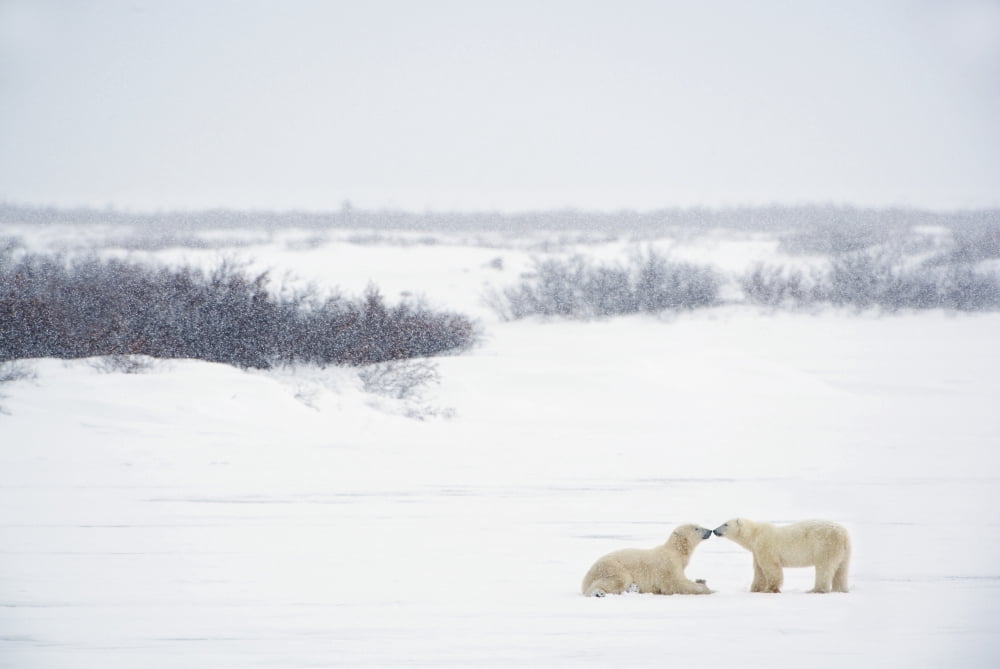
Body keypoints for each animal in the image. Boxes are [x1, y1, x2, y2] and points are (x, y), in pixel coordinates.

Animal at [581, 524, 714, 597]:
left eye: (699, 526)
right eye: (696, 528)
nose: (709, 530)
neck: (676, 552)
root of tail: (586, 577)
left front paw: (701, 580)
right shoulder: (668, 564)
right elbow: (675, 584)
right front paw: (708, 589)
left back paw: (633, 588)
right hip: (611, 567)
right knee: (619, 580)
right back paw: (598, 593)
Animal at [712, 518, 850, 593]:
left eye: (725, 524)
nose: (714, 530)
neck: (754, 534)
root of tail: (843, 534)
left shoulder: (765, 546)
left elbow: (771, 568)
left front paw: (770, 589)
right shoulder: (756, 551)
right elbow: (759, 571)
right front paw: (755, 589)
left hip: (825, 545)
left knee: (824, 567)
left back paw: (815, 590)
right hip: (844, 551)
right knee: (841, 570)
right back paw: (840, 589)